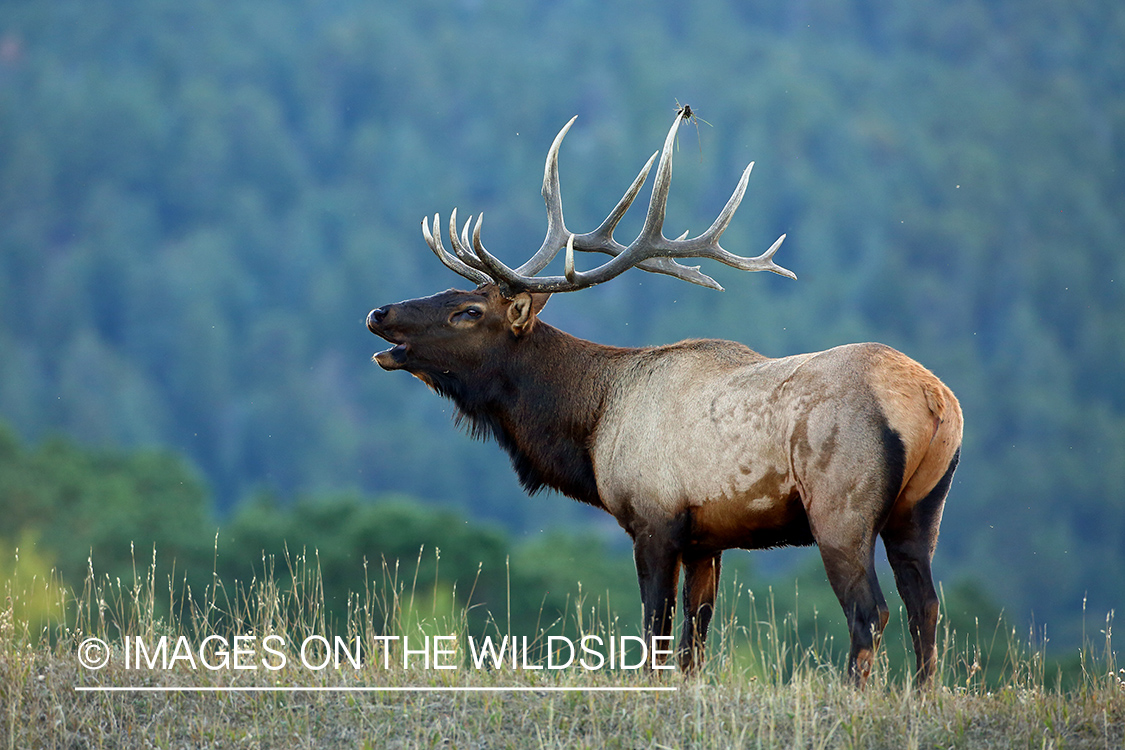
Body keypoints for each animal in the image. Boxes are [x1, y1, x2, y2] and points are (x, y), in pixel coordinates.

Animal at [364, 106, 963, 688]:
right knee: (926, 607)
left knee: (870, 612)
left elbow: (656, 634)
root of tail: (935, 401)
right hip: (921, 509)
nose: (378, 312)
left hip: (842, 506)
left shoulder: (654, 519)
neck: (591, 428)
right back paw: (920, 696)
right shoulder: (707, 539)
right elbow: (693, 645)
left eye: (468, 311)